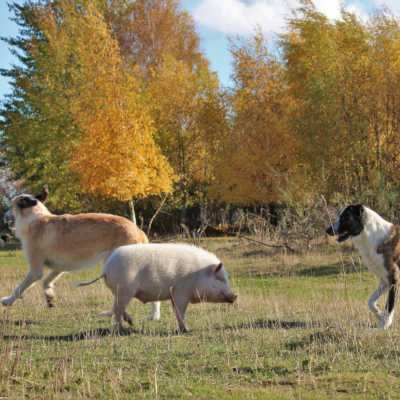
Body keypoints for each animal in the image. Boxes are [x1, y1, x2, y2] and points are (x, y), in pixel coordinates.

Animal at [1, 188, 161, 318]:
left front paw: (7, 301)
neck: (35, 217)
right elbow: (46, 282)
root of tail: (138, 231)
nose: (4, 214)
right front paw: (49, 297)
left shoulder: (35, 271)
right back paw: (152, 316)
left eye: (12, 205)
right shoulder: (59, 267)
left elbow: (19, 288)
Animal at [76, 244, 236, 332]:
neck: (198, 274)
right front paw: (186, 330)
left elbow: (177, 311)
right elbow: (180, 311)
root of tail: (106, 269)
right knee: (117, 310)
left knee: (117, 308)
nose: (235, 295)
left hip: (120, 291)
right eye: (220, 279)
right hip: (124, 290)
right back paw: (123, 329)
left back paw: (131, 323)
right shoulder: (181, 292)